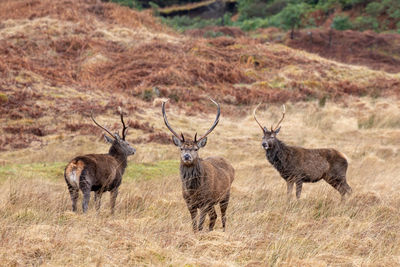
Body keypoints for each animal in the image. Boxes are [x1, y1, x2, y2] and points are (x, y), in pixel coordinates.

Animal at [162, 98, 234, 232]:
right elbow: (194, 225)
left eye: (196, 149)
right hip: (213, 202)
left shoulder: (205, 201)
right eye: (181, 148)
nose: (186, 156)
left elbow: (200, 225)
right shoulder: (189, 203)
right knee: (214, 216)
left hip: (225, 195)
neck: (193, 190)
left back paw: (223, 231)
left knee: (223, 216)